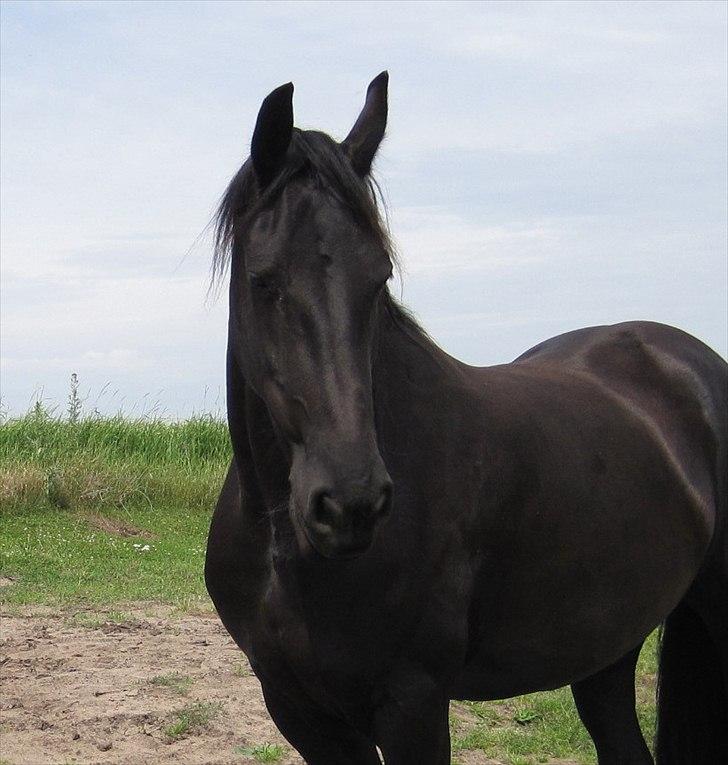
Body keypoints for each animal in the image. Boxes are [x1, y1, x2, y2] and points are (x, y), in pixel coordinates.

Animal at [205, 73, 728, 764]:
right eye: (264, 281)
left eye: (379, 279)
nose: (351, 504)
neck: (280, 542)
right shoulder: (298, 708)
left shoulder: (412, 702)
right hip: (606, 648)